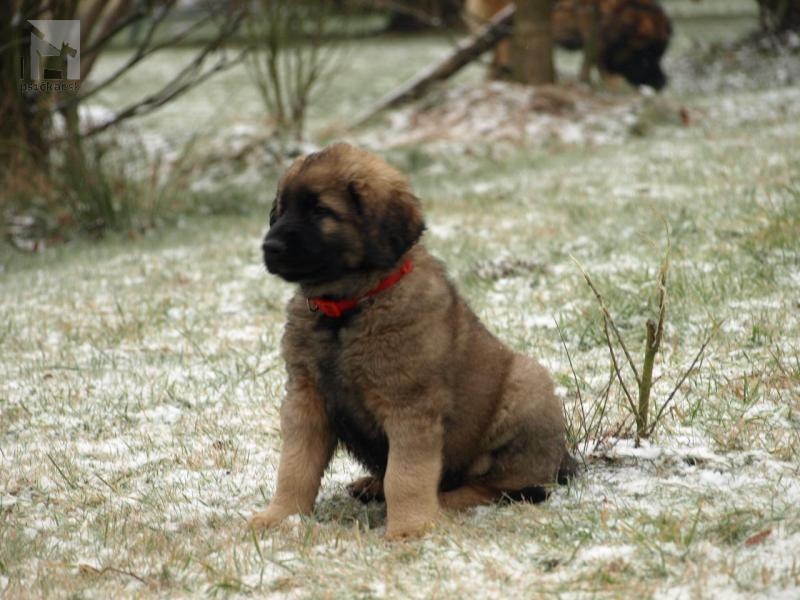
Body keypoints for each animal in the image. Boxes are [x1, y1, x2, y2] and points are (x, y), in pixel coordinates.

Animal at [252, 144, 576, 540]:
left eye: (321, 211)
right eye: (281, 210)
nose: (270, 245)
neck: (348, 308)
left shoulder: (409, 405)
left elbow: (405, 475)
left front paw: (409, 528)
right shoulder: (305, 398)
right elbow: (295, 467)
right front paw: (279, 517)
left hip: (527, 384)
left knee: (500, 487)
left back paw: (443, 500)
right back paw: (371, 485)